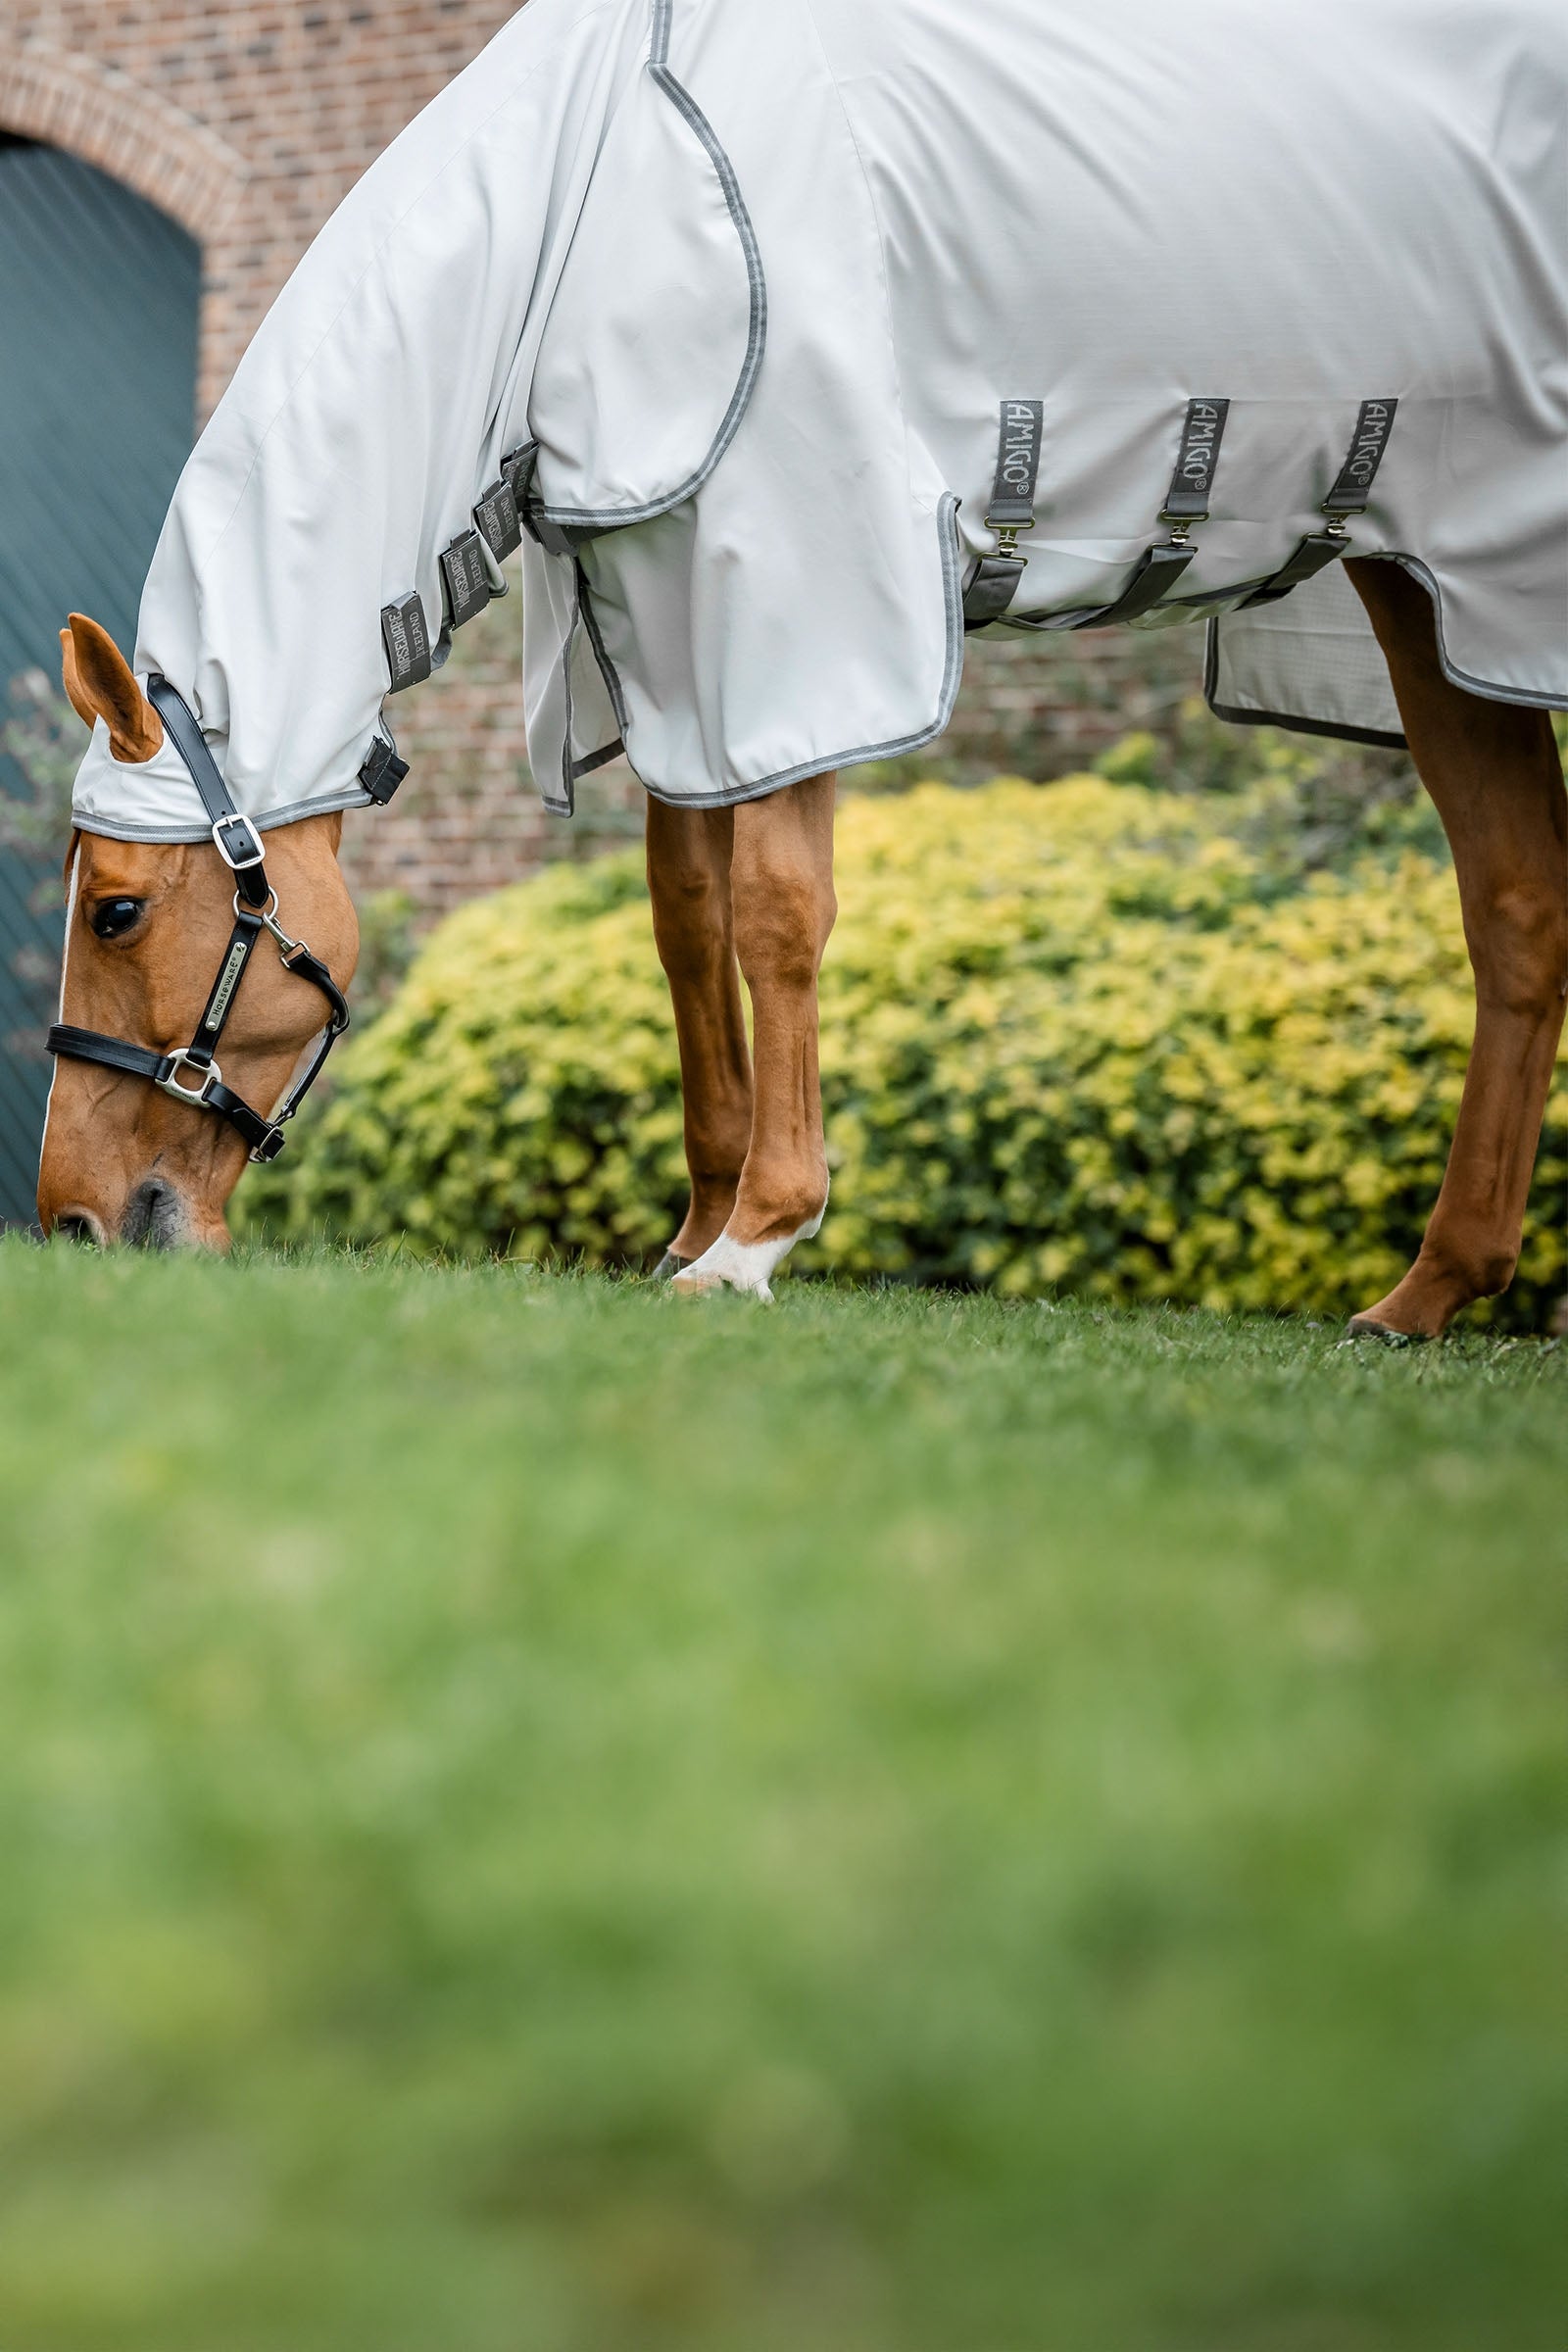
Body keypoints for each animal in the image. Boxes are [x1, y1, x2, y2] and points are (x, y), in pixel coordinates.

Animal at [37, 0, 1568, 1336]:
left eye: (115, 912)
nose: (72, 1227)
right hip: (1420, 590)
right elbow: (686, 918)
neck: (594, 186)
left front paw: (759, 1238)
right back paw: (1426, 1298)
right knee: (1515, 908)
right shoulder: (671, 621)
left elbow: (774, 914)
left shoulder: (798, 597)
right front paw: (695, 1230)